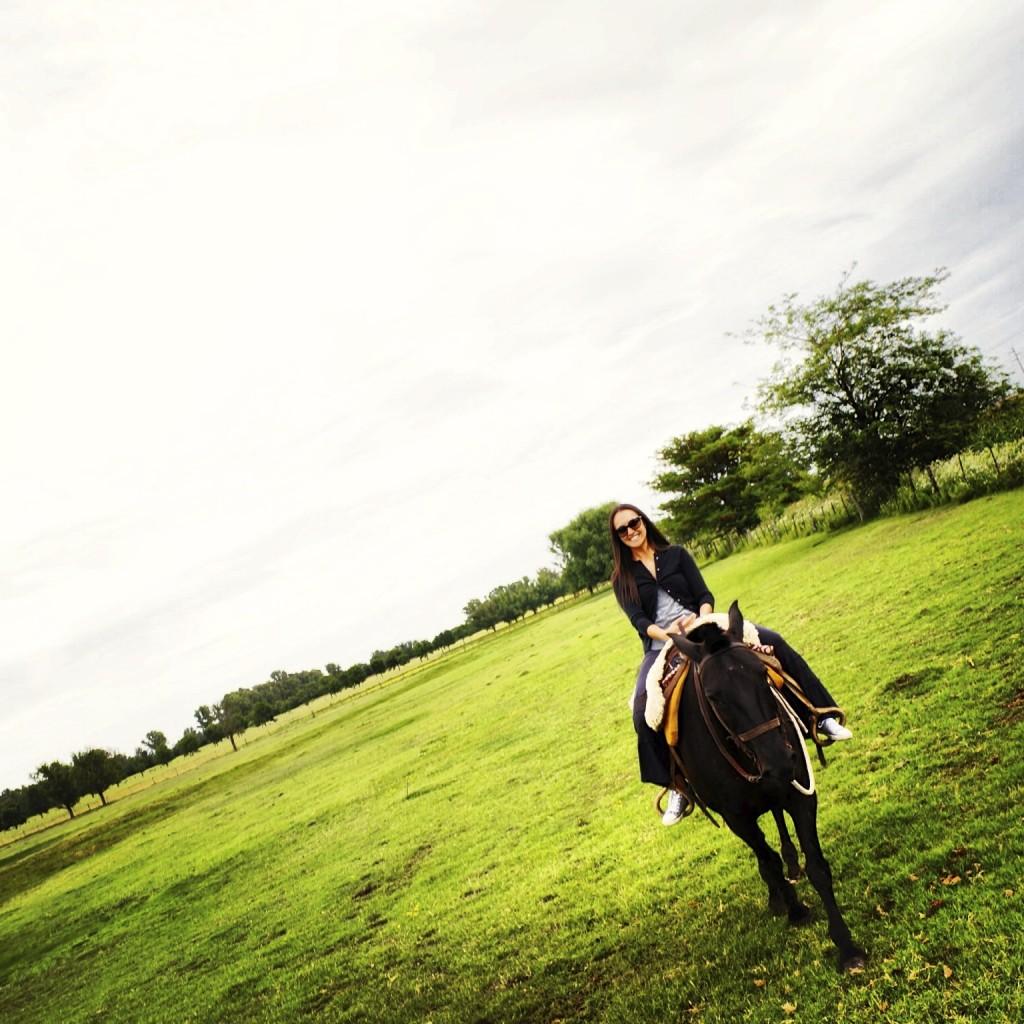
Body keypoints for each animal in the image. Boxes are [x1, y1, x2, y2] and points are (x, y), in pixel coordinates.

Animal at [671, 602, 864, 970]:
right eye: (714, 697)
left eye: (763, 673)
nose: (779, 760)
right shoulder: (737, 818)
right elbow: (768, 861)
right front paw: (796, 910)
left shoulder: (799, 793)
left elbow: (817, 866)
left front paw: (847, 947)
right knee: (766, 856)